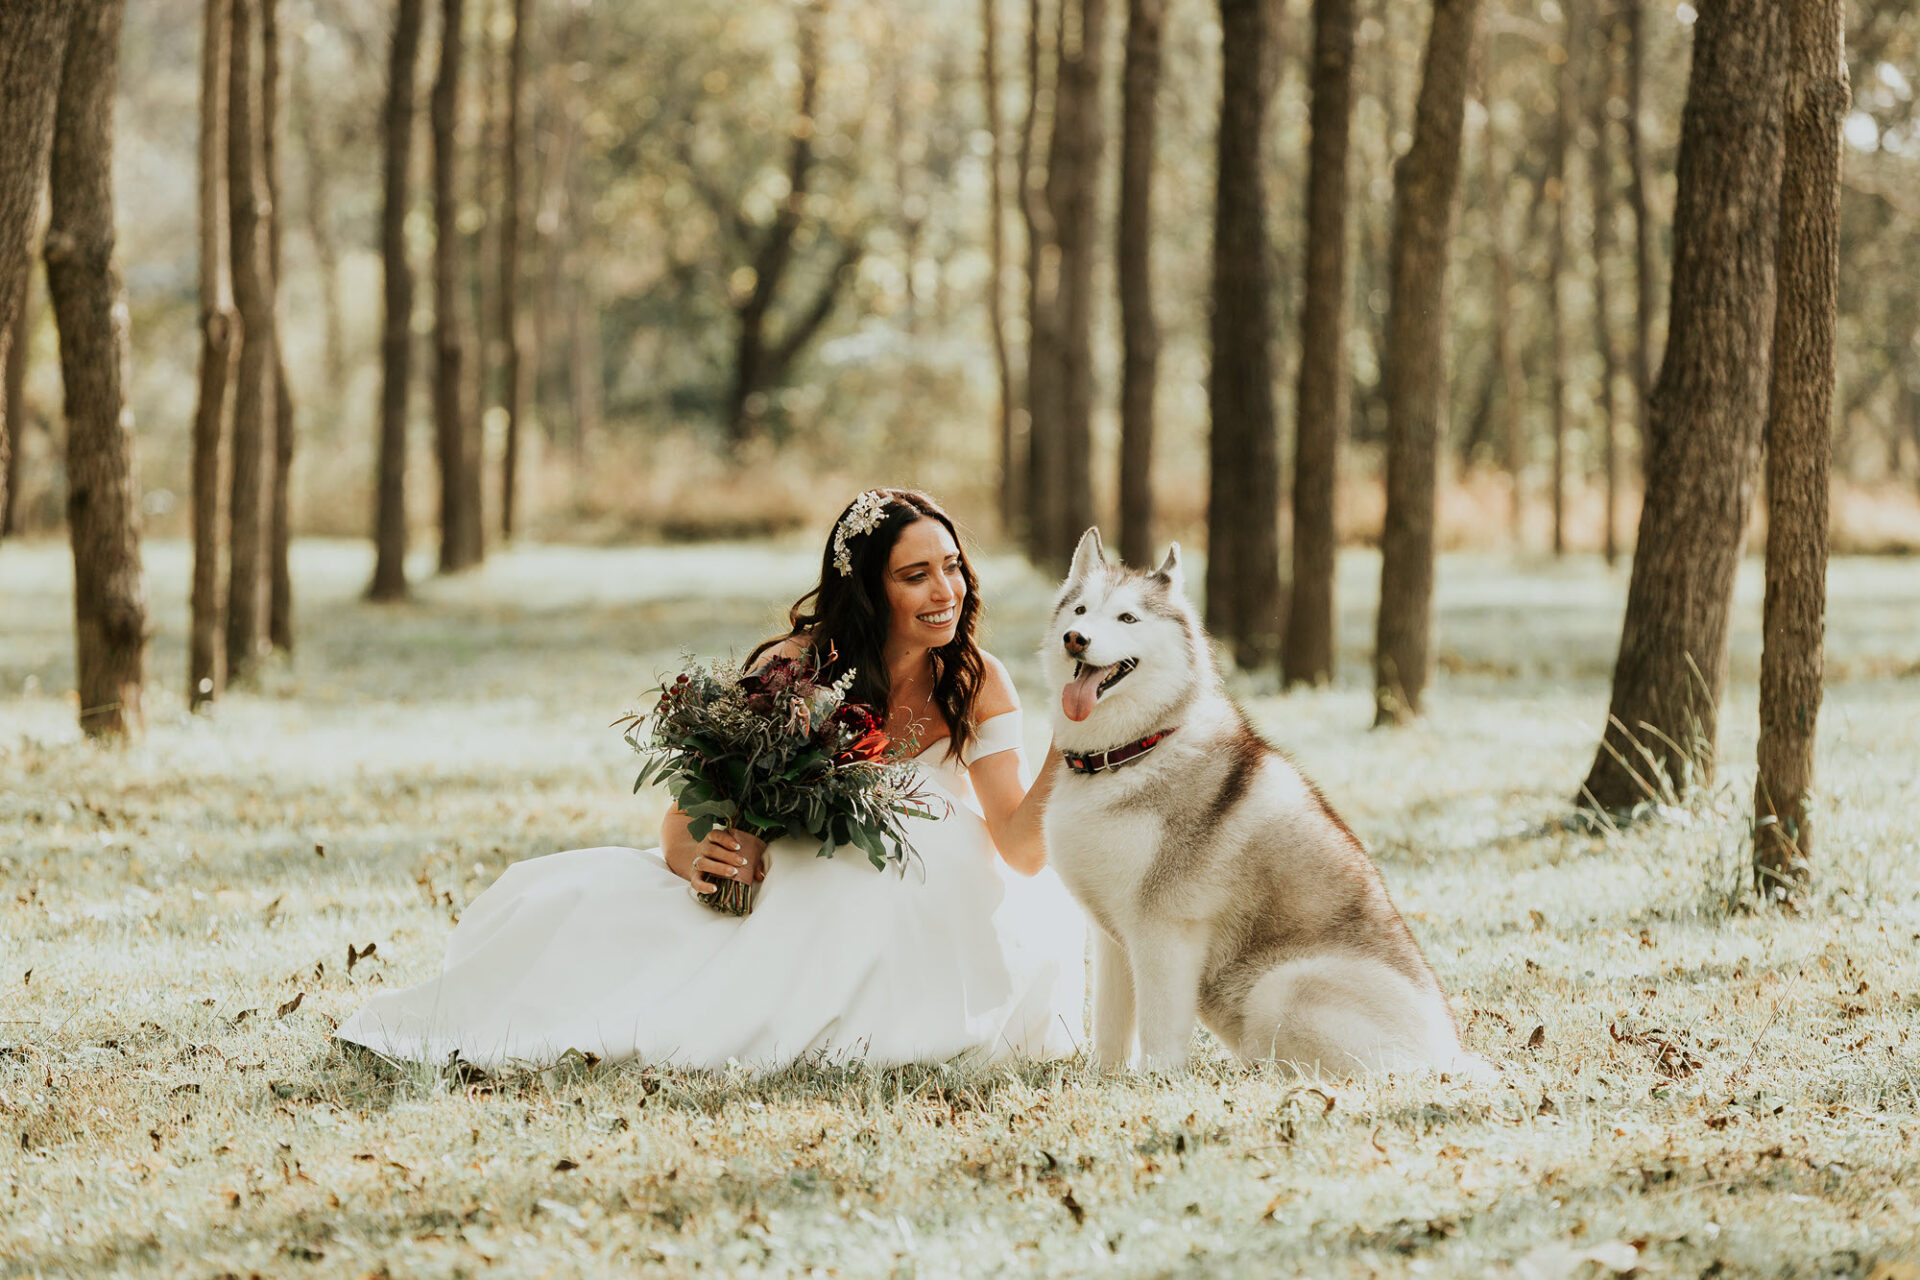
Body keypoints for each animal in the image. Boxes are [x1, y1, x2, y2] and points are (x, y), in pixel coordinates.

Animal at [1044, 525, 1459, 1074]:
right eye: (1080, 610)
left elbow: (1159, 1029)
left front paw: (1157, 1081)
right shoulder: (1112, 936)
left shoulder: (1163, 931)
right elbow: (1110, 1025)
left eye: (1127, 618)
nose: (1076, 639)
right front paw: (1105, 1079)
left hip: (1279, 987)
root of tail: (1457, 1057)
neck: (1131, 751)